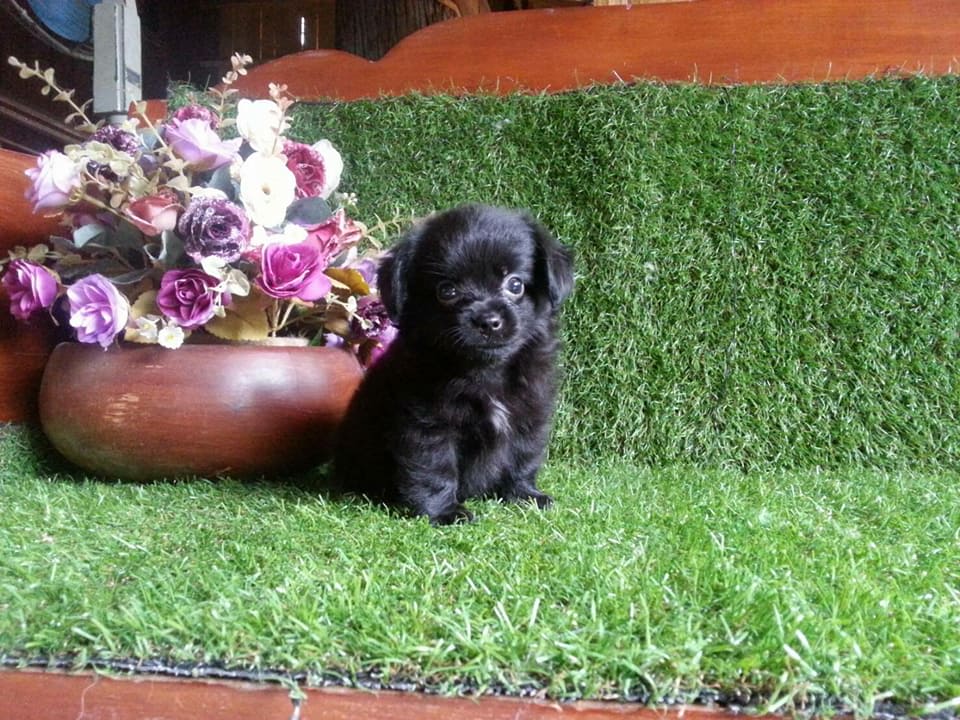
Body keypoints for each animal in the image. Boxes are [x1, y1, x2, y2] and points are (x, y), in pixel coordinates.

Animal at [332, 204, 574, 525]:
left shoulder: (530, 413)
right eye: (447, 291)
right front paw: (444, 512)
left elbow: (522, 456)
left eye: (515, 284)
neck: (486, 370)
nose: (488, 321)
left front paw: (524, 495)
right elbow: (435, 467)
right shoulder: (427, 423)